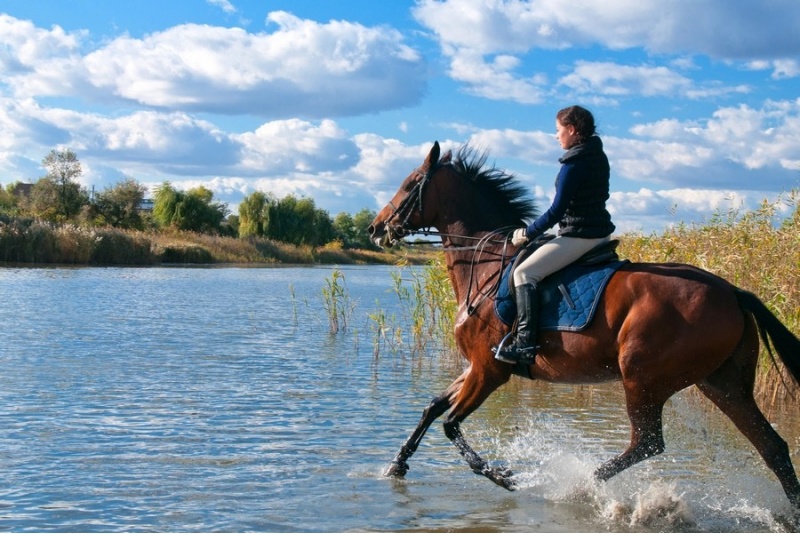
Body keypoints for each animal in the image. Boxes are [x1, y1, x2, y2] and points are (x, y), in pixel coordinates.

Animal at [368, 141, 800, 510]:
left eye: (409, 186)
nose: (375, 228)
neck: (487, 263)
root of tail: (732, 291)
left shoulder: (490, 370)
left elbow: (451, 425)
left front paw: (504, 476)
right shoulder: (476, 365)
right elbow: (432, 408)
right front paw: (396, 465)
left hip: (642, 378)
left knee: (647, 443)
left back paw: (578, 486)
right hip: (723, 383)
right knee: (773, 446)